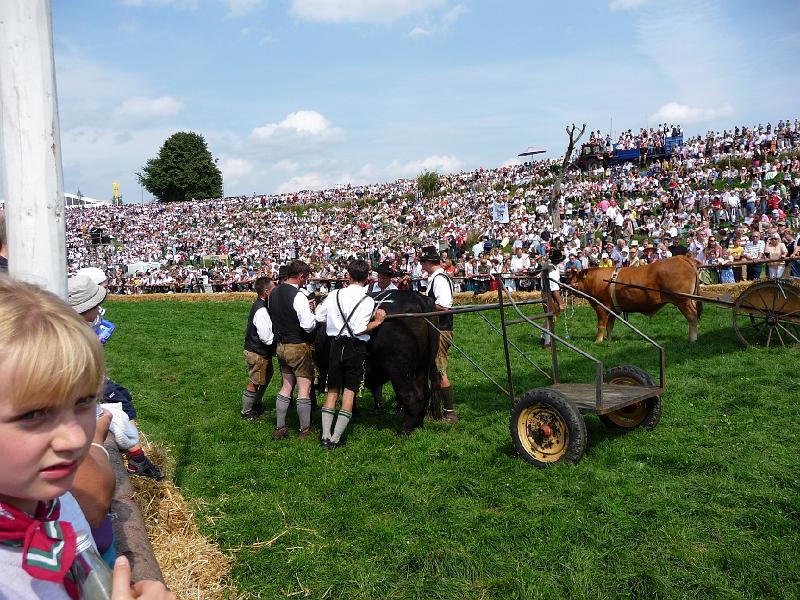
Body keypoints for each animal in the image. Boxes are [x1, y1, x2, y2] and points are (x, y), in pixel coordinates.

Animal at [312, 288, 440, 434]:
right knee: (425, 393)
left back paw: (404, 429)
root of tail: (417, 297)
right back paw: (418, 424)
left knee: (411, 395)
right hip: (423, 365)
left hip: (398, 367)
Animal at [564, 255, 700, 344]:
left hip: (683, 300)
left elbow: (601, 325)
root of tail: (681, 257)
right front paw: (609, 340)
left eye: (570, 278)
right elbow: (610, 326)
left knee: (692, 316)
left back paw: (692, 338)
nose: (563, 287)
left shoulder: (601, 306)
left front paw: (598, 341)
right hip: (689, 300)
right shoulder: (612, 309)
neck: (595, 280)